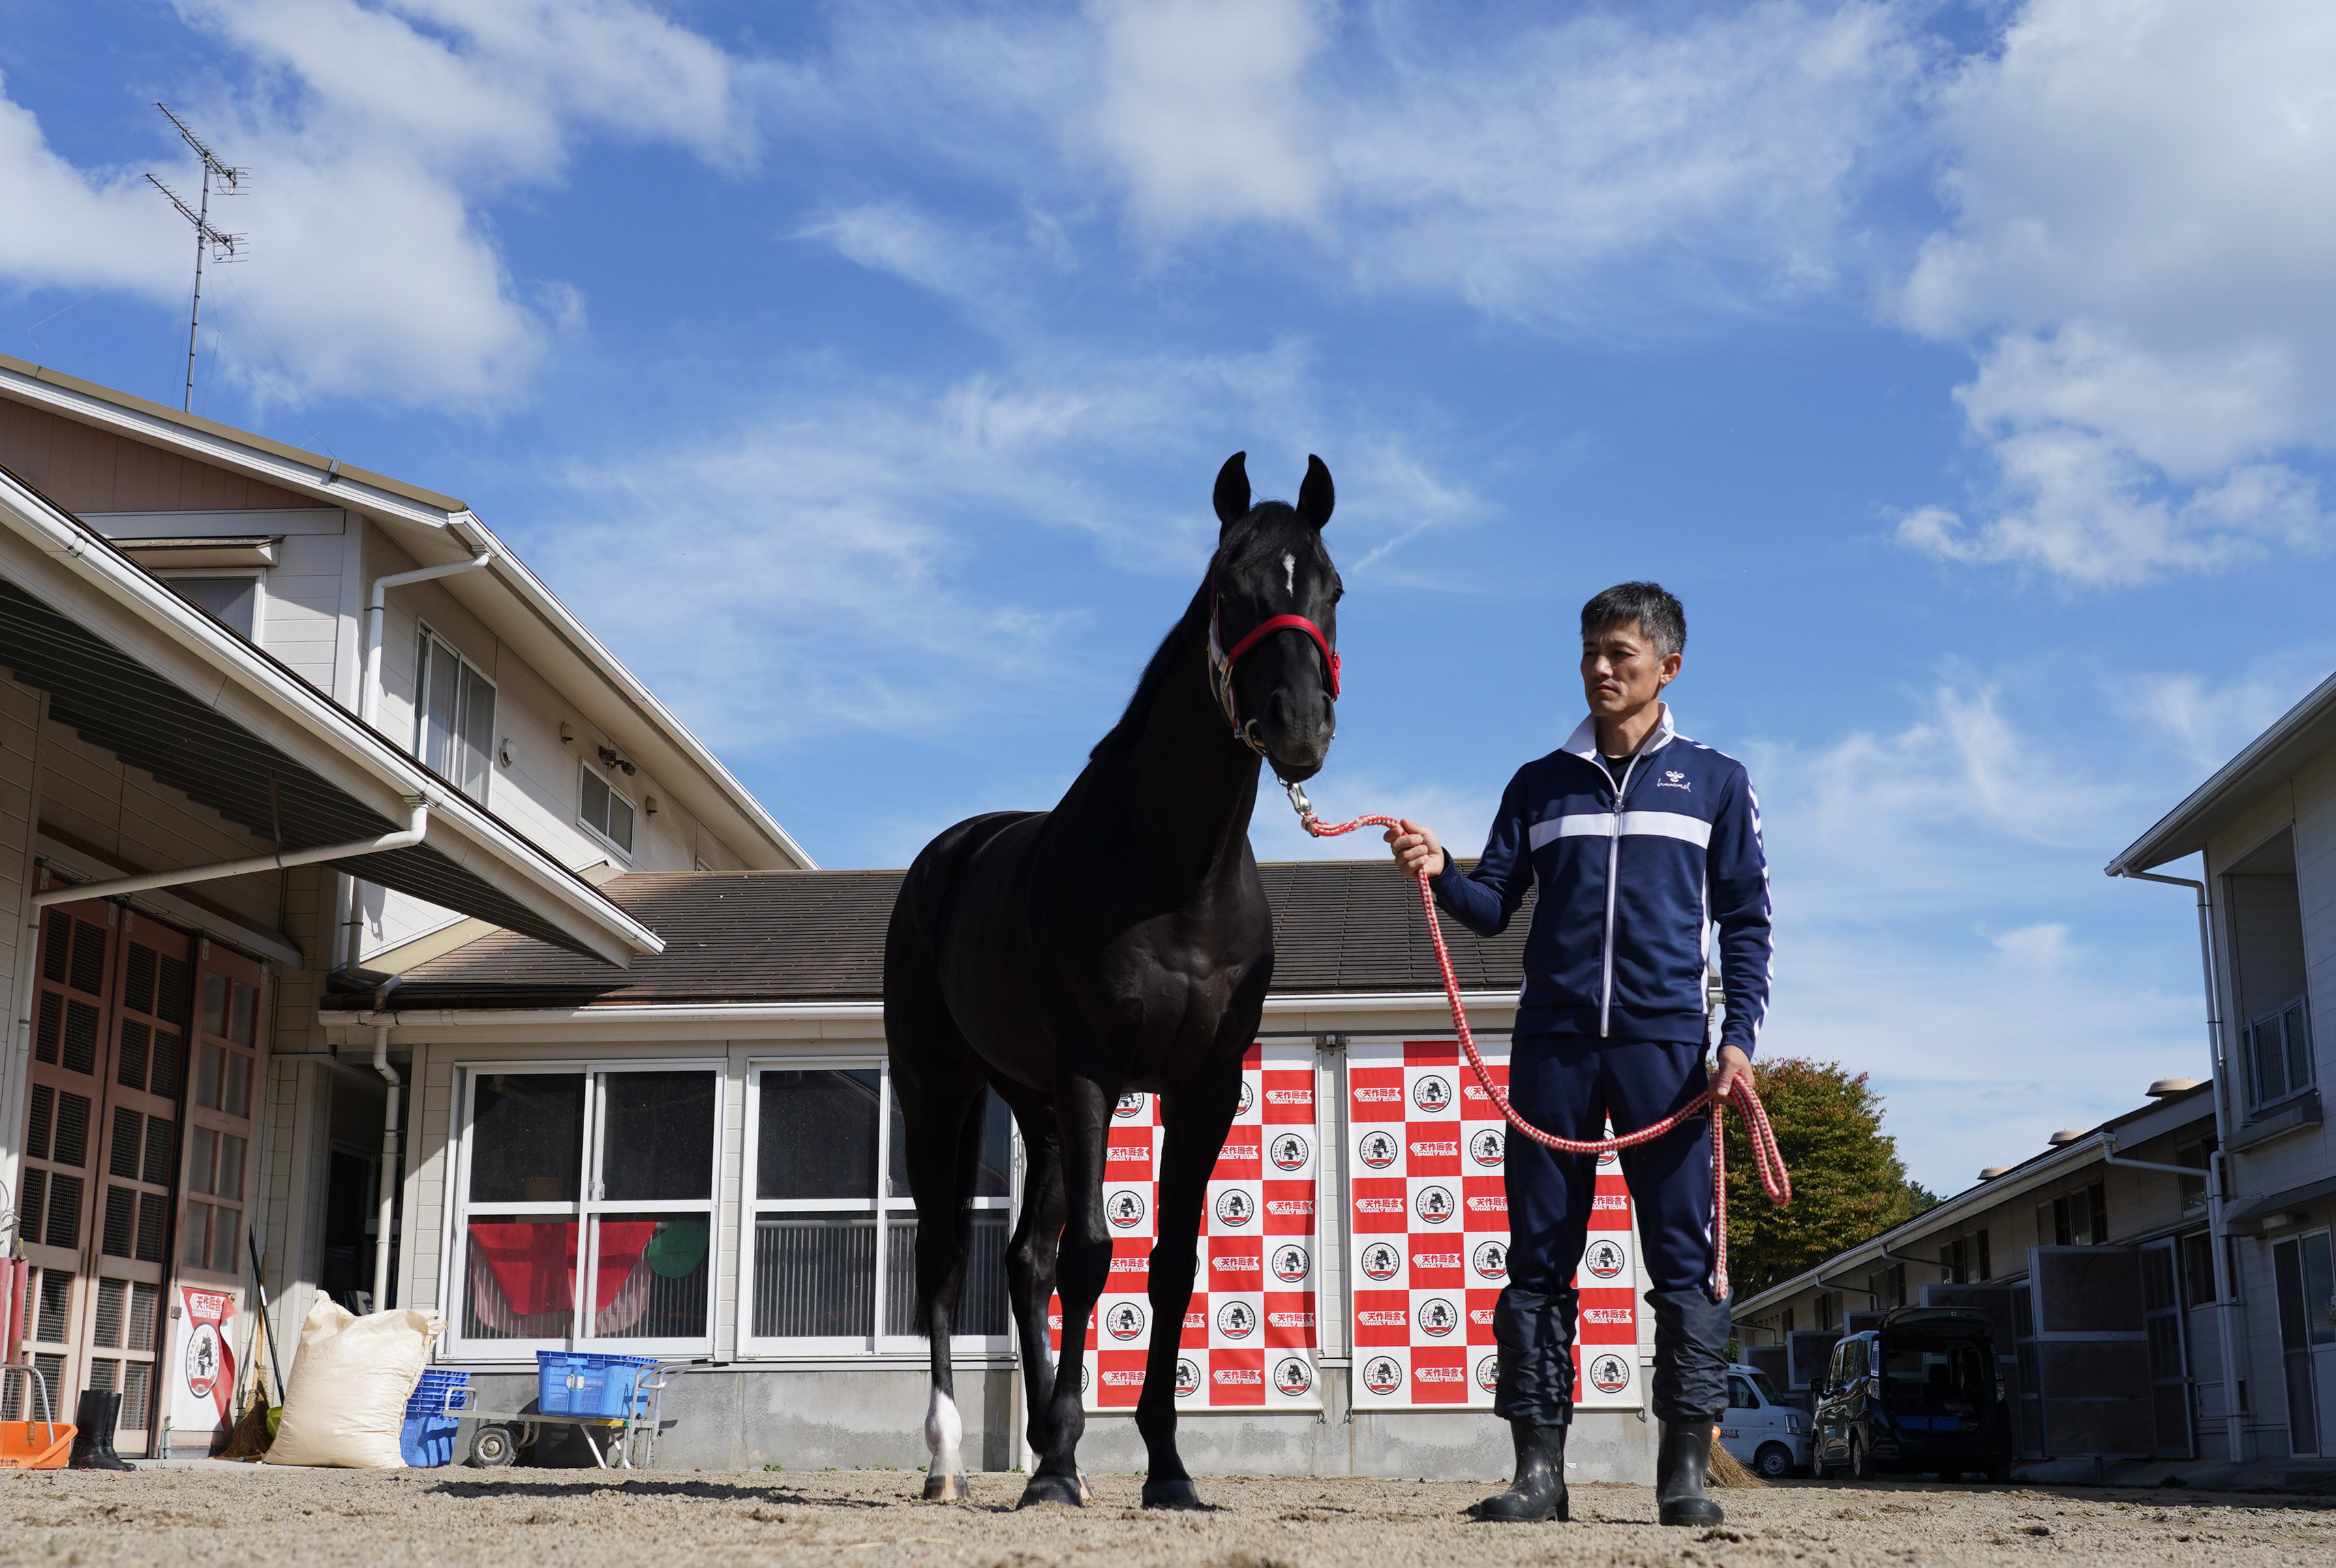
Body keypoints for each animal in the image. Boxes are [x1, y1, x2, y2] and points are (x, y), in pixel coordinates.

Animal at [883, 450, 1345, 1505]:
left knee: (1022, 1261)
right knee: (944, 1256)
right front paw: (1053, 1465)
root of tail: (944, 856)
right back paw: (945, 1460)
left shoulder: (1203, 1085)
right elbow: (1095, 1255)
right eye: (1230, 585)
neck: (1174, 873)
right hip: (943, 1086)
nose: (1299, 726)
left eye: (1331, 588)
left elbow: (1168, 1264)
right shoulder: (1093, 1070)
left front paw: (1162, 1466)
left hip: (1038, 1106)